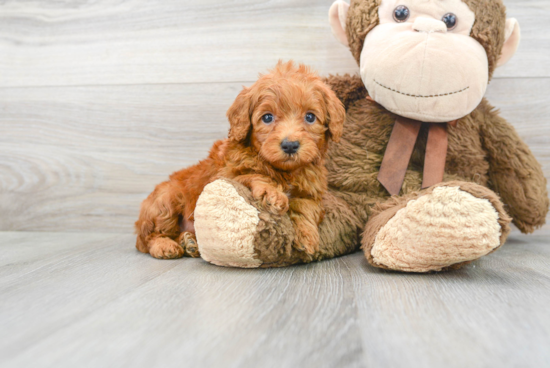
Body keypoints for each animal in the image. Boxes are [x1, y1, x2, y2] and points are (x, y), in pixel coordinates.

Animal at [135, 61, 344, 258]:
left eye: (310, 117)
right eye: (267, 118)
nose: (290, 145)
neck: (283, 171)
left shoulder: (311, 192)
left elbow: (305, 207)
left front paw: (307, 237)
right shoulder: (225, 176)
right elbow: (253, 175)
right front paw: (272, 193)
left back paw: (190, 243)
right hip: (166, 199)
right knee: (149, 237)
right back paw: (165, 245)